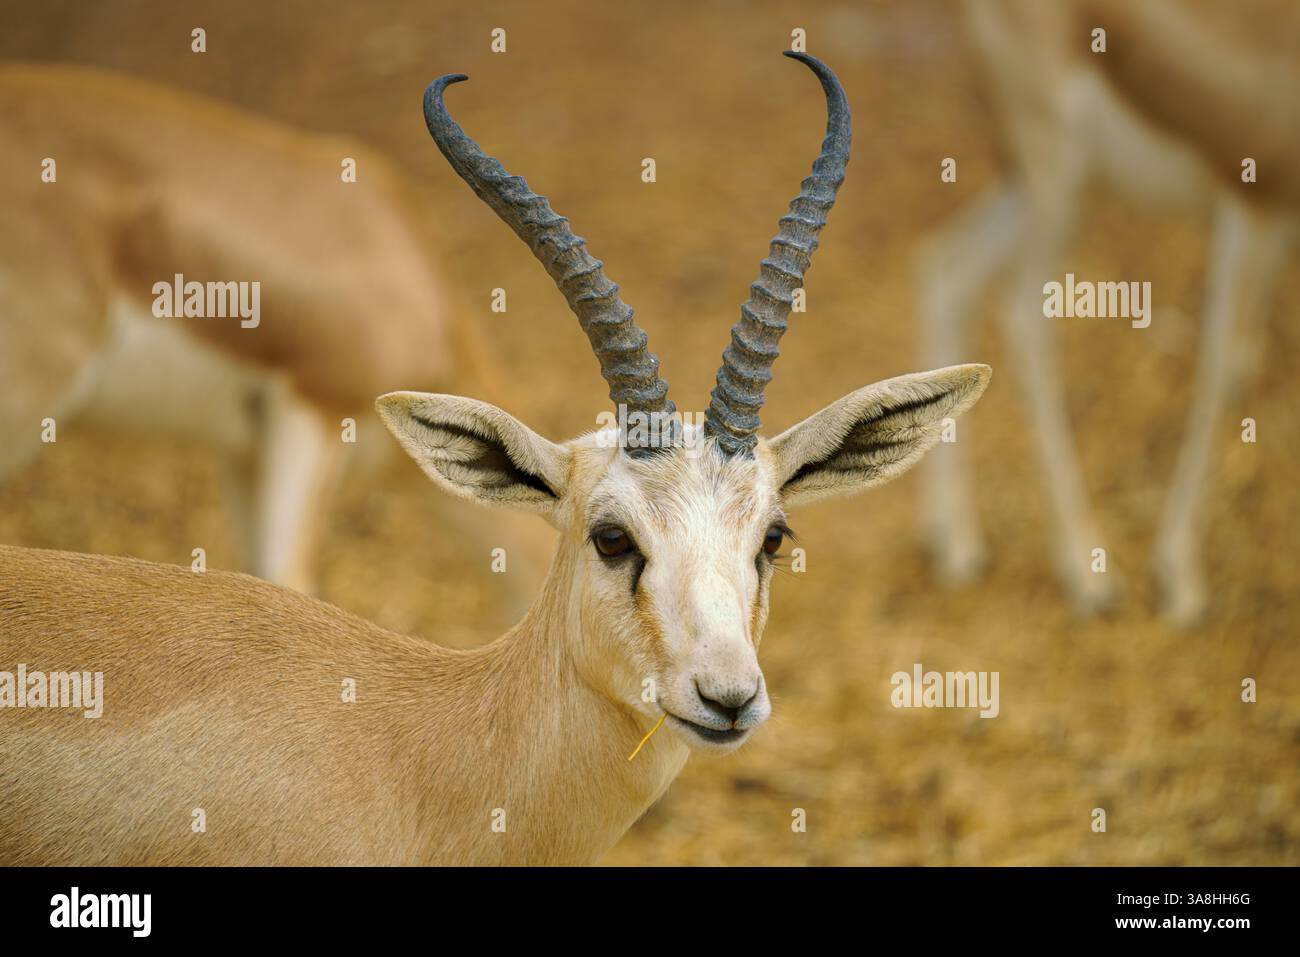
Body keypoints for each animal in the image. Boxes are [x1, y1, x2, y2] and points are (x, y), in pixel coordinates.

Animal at [918, 0, 1297, 624]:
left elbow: (1241, 362)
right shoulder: (1249, 200)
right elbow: (1220, 371)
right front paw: (1180, 578)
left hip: (1057, 184)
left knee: (946, 271)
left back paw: (956, 545)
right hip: (1058, 175)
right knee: (1021, 316)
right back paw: (1088, 574)